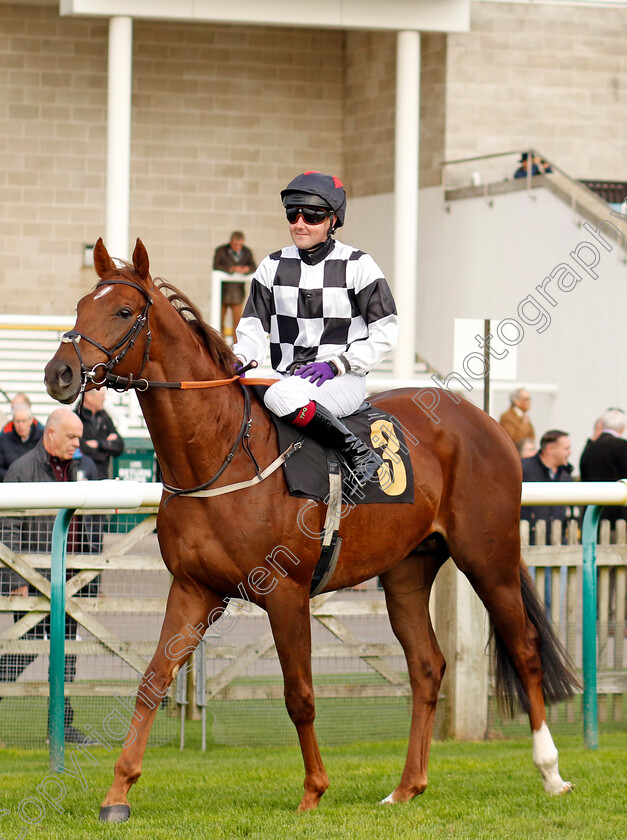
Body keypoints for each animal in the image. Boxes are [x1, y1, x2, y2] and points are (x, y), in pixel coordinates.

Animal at [43, 236, 580, 820]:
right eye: (78, 306)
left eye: (123, 311)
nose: (58, 374)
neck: (223, 454)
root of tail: (484, 420)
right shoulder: (193, 587)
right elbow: (151, 682)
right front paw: (117, 794)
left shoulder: (286, 592)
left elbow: (298, 693)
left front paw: (313, 790)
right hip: (407, 570)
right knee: (427, 665)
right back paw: (406, 786)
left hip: (488, 555)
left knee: (524, 647)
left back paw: (551, 772)